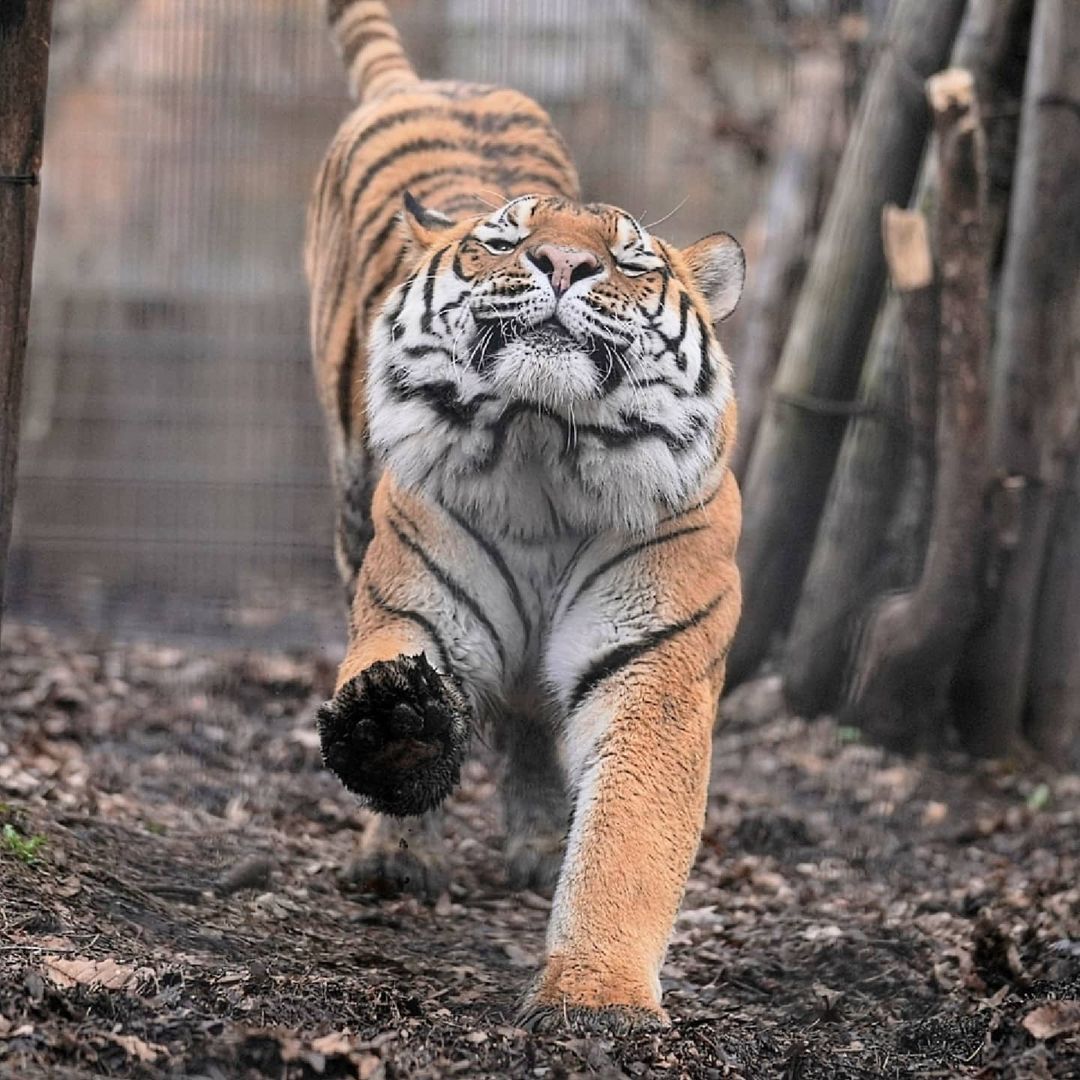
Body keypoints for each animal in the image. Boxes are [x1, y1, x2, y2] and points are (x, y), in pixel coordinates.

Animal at [304, 0, 743, 1032]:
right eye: (503, 244)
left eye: (626, 259)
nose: (565, 262)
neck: (546, 455)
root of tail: (424, 80)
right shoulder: (414, 604)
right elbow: (394, 693)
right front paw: (394, 729)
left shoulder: (656, 667)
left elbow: (627, 840)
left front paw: (597, 1001)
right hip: (349, 507)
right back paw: (396, 860)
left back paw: (540, 845)